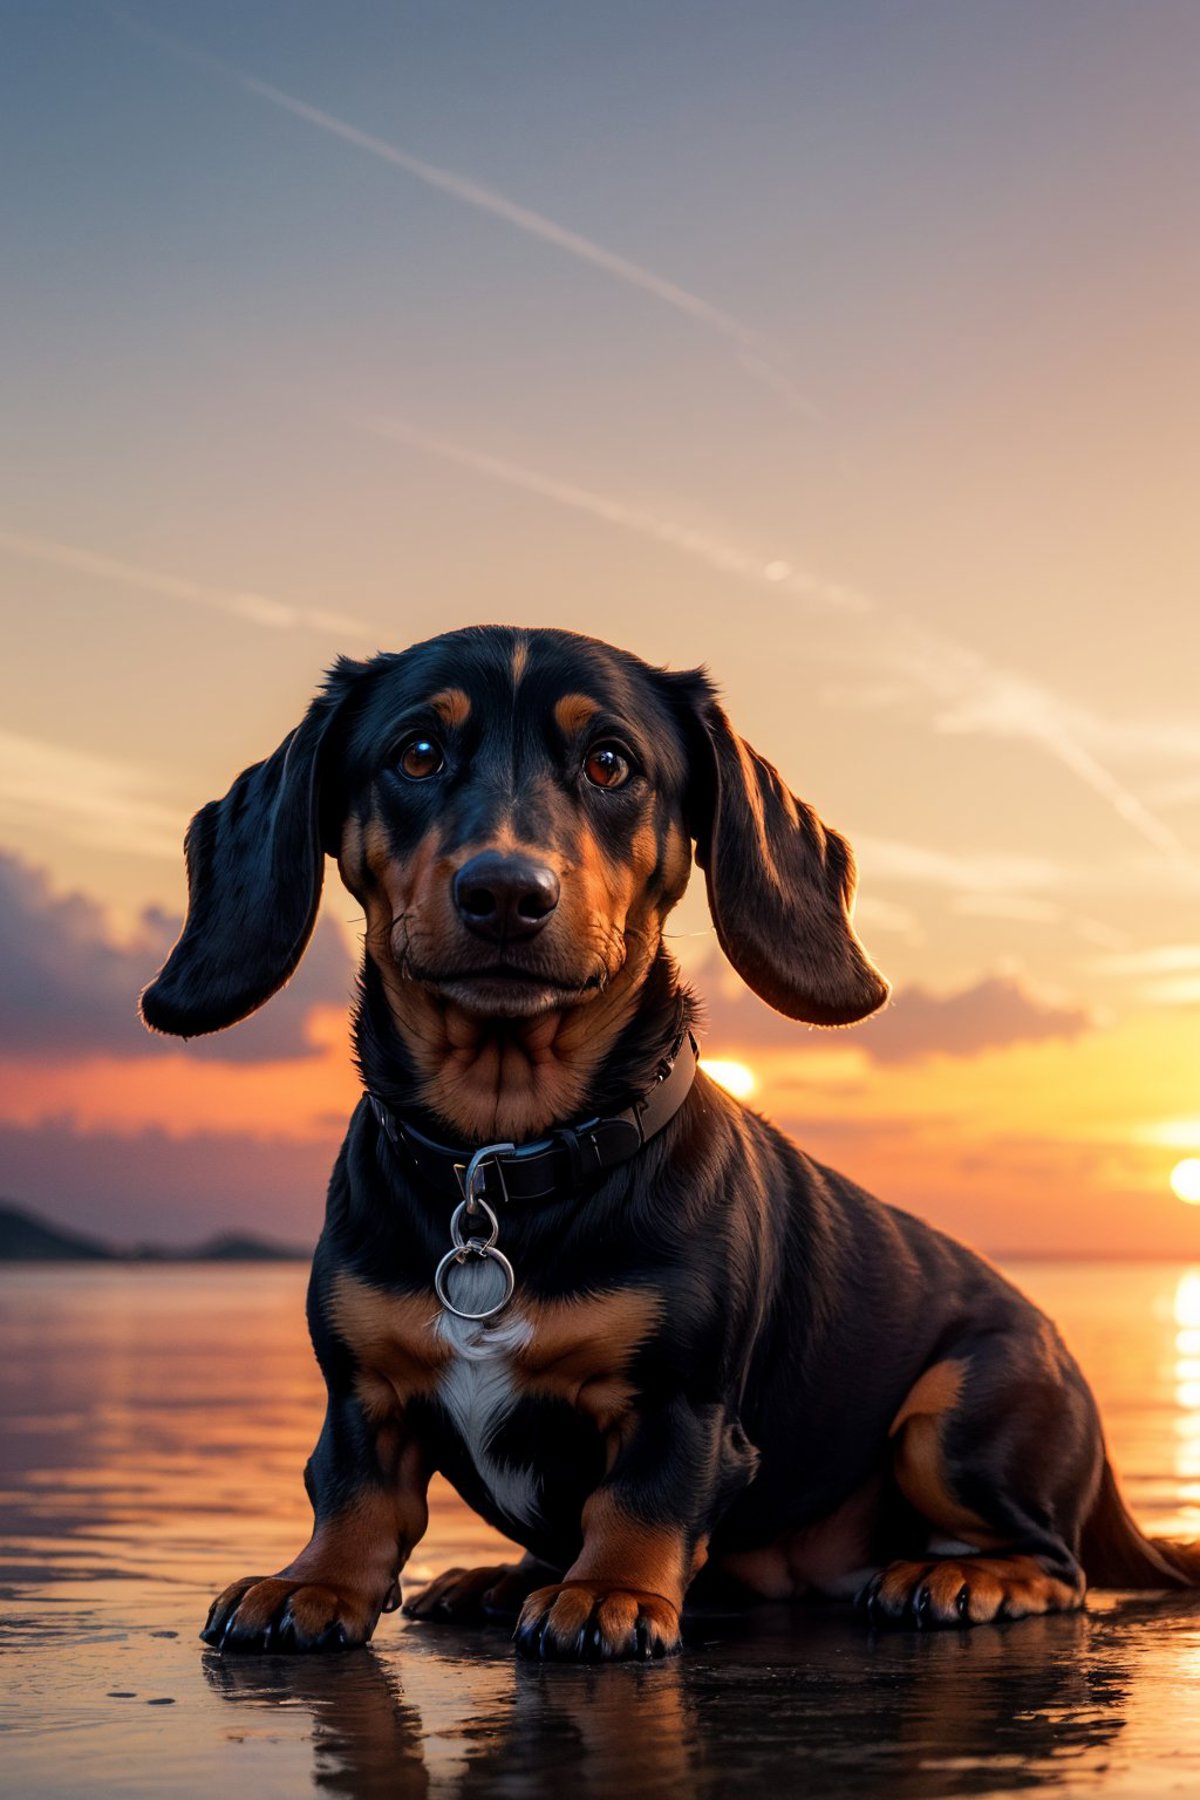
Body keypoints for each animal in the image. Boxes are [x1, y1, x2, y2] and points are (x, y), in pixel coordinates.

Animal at [143, 630, 1200, 1656]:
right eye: (418, 753)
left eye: (610, 762)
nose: (505, 893)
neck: (505, 1160)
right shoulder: (363, 1391)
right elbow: (353, 1496)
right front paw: (310, 1585)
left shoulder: (681, 1404)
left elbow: (641, 1502)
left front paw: (606, 1593)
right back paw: (498, 1577)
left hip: (958, 1409)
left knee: (1060, 1564)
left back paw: (967, 1578)